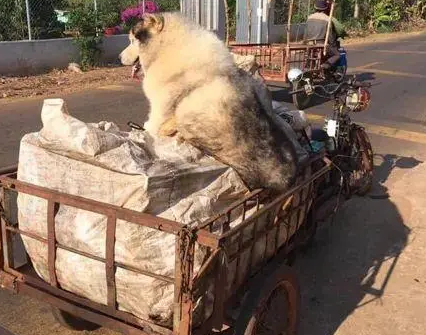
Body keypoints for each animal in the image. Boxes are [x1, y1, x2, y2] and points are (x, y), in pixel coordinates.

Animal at [120, 12, 300, 192]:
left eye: (132, 40)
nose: (119, 57)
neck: (164, 47)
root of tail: (283, 179)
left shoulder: (160, 110)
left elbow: (152, 126)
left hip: (187, 109)